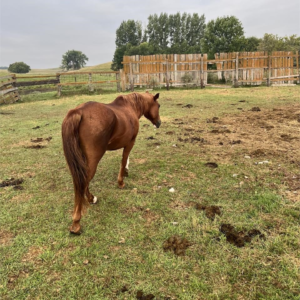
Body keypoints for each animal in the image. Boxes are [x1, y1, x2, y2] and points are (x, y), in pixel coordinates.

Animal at [61, 91, 162, 234]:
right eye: (158, 106)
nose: (159, 123)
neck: (129, 107)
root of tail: (78, 111)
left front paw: (126, 172)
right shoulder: (130, 143)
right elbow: (124, 159)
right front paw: (121, 181)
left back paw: (90, 199)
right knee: (83, 182)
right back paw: (76, 223)